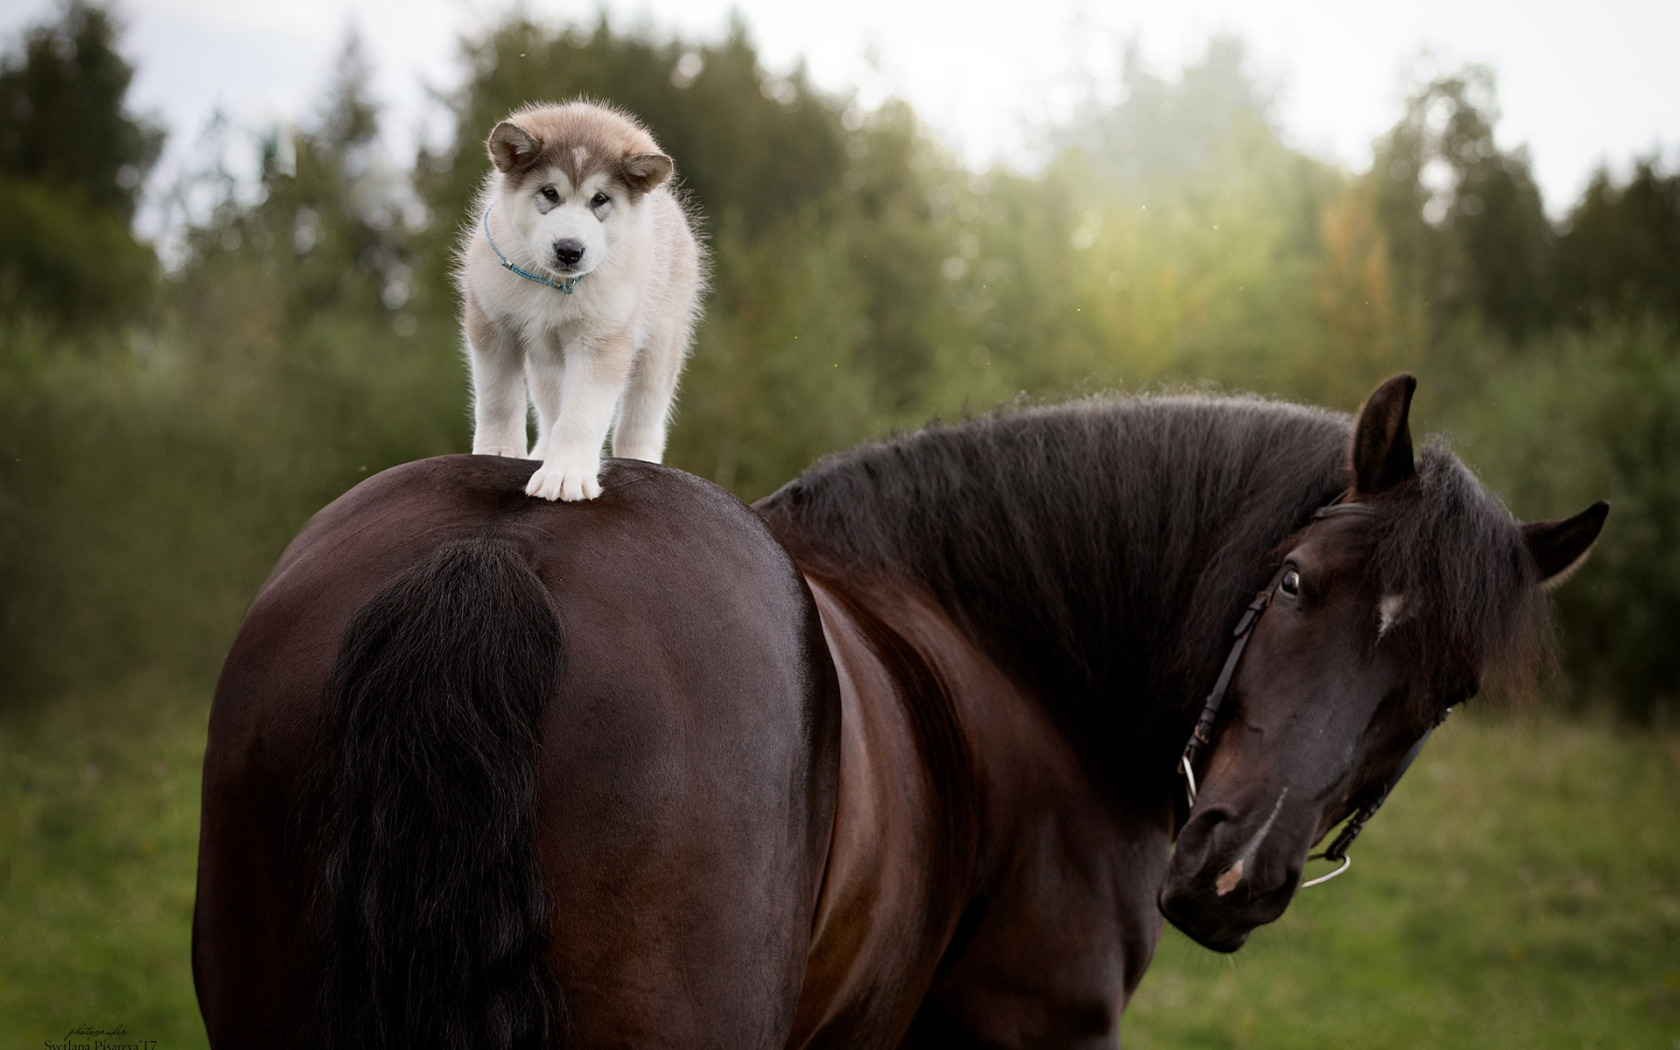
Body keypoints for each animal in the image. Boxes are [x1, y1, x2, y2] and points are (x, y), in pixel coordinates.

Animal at [193, 376, 1599, 1048]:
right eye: (1298, 582)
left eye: (1444, 695)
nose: (1233, 872)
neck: (1015, 654)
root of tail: (498, 560)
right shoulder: (1042, 1027)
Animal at [453, 100, 702, 500]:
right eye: (549, 193)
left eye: (599, 199)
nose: (569, 250)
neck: (554, 286)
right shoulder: (492, 325)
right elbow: (497, 398)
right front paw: (498, 450)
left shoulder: (601, 342)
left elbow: (581, 416)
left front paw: (565, 473)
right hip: (545, 362)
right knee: (549, 406)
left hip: (661, 344)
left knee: (643, 413)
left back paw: (643, 458)